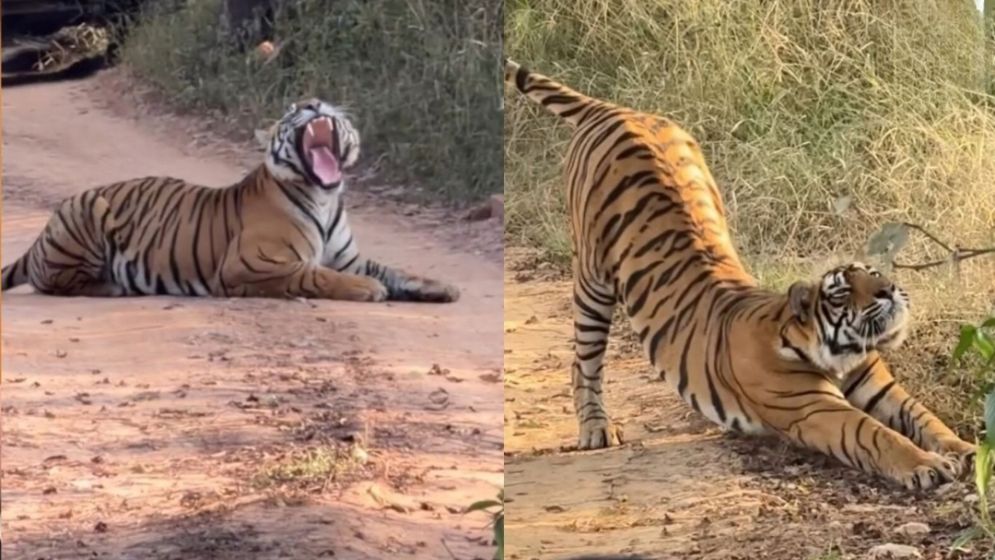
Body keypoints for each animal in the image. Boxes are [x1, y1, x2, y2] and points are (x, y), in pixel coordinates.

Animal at [1, 98, 460, 305]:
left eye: (323, 101)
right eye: (293, 109)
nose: (312, 102)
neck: (325, 197)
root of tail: (41, 234)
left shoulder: (349, 257)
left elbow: (396, 270)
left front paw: (442, 286)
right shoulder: (254, 264)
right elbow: (318, 275)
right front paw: (369, 289)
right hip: (87, 214)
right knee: (53, 282)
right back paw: (112, 286)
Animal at [505, 59, 974, 490]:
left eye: (874, 272)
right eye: (843, 292)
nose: (889, 290)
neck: (838, 351)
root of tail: (615, 109)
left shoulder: (882, 388)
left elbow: (926, 418)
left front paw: (965, 450)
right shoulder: (814, 409)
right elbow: (874, 434)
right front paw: (927, 465)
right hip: (592, 280)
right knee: (583, 361)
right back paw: (596, 429)